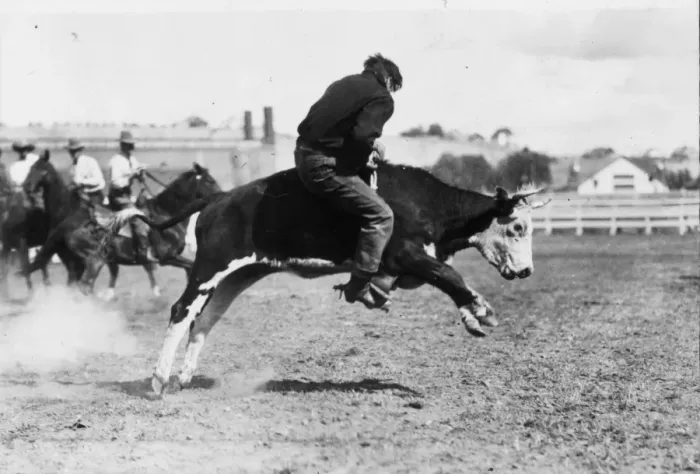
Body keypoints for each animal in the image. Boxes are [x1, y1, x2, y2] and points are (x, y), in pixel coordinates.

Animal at [132, 160, 551, 395]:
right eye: (516, 227)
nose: (526, 271)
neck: (430, 205)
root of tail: (218, 199)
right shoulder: (406, 254)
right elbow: (448, 274)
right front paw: (482, 310)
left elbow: (445, 279)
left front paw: (472, 317)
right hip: (209, 266)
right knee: (181, 311)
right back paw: (158, 381)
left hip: (241, 274)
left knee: (205, 320)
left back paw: (185, 377)